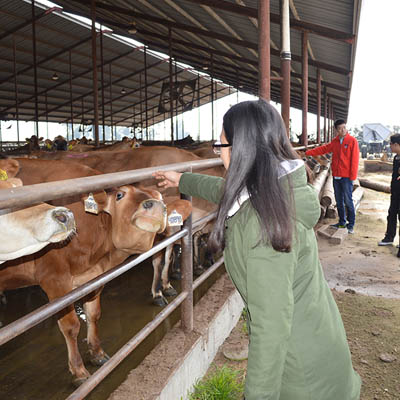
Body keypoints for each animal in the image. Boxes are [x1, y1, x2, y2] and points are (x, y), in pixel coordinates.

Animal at [0, 157, 191, 384]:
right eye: (120, 195)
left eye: (160, 197)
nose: (156, 206)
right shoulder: (55, 279)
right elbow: (71, 325)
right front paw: (79, 370)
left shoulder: (96, 276)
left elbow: (93, 314)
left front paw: (97, 353)